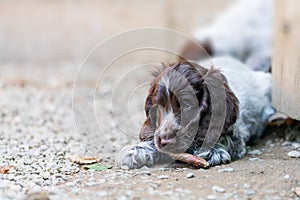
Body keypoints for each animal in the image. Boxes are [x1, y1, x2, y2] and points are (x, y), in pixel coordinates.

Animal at [115, 56, 274, 169]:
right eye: (159, 105)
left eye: (187, 106)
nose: (166, 140)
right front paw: (136, 150)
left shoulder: (236, 137)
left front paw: (211, 151)